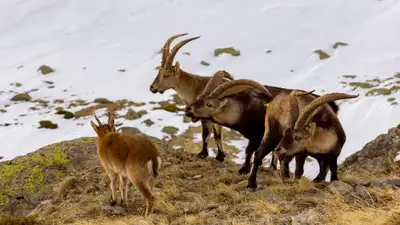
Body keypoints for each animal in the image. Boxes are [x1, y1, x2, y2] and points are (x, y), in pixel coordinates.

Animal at [148, 33, 233, 163]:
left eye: (166, 75)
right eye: (158, 73)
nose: (152, 88)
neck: (195, 87)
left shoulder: (205, 117)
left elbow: (205, 135)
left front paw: (203, 154)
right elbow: (217, 135)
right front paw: (220, 157)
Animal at [185, 78, 340, 175]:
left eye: (209, 104)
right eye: (199, 98)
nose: (188, 109)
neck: (243, 108)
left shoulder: (257, 134)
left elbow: (249, 151)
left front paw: (244, 169)